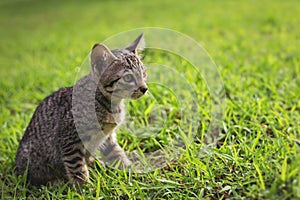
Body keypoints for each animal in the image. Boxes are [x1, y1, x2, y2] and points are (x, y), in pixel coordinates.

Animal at [15, 34, 148, 186]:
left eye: (144, 73)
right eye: (128, 77)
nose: (145, 88)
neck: (111, 104)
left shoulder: (108, 137)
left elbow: (117, 154)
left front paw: (133, 172)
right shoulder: (69, 139)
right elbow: (77, 168)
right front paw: (85, 188)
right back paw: (54, 181)